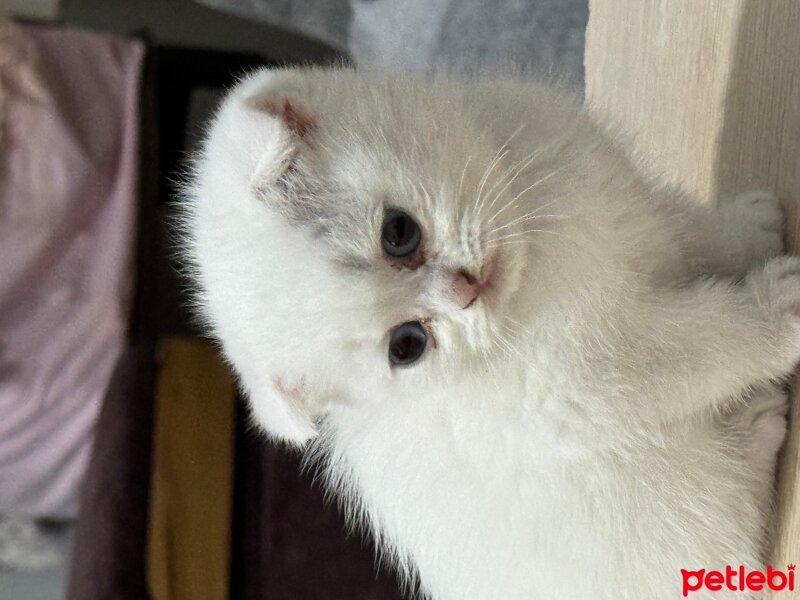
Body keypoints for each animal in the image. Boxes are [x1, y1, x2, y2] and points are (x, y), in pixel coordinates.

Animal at [183, 68, 800, 596]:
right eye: (407, 345)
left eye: (398, 234)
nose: (465, 292)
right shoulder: (588, 383)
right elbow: (706, 340)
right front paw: (777, 308)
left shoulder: (623, 204)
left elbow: (689, 231)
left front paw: (749, 225)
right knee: (735, 540)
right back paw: (755, 428)